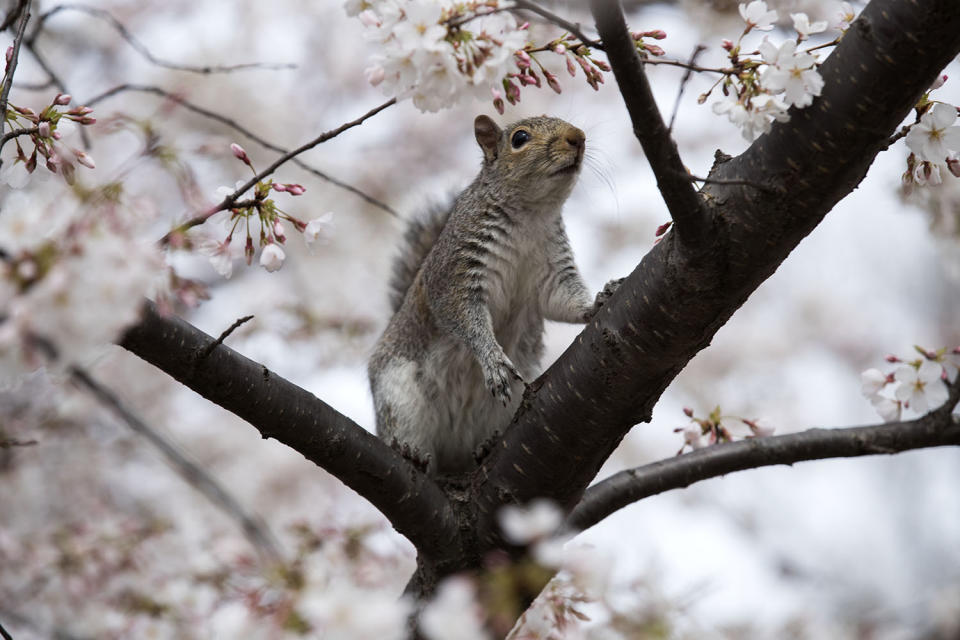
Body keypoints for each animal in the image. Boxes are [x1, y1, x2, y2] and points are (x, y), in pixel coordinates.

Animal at [368, 114, 624, 476]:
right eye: (520, 138)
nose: (578, 137)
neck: (531, 215)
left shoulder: (552, 272)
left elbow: (562, 300)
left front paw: (598, 301)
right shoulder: (456, 273)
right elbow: (464, 317)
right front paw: (492, 359)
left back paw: (487, 446)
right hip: (398, 394)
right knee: (406, 432)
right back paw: (410, 453)